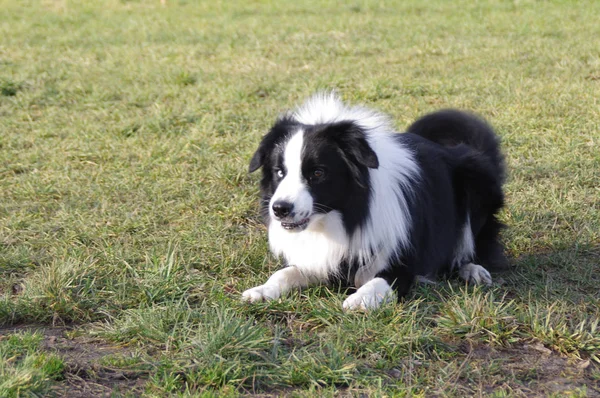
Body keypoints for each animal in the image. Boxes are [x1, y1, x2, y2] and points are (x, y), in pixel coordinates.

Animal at [243, 94, 506, 310]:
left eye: (318, 173)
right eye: (279, 172)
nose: (279, 209)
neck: (345, 217)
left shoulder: (405, 261)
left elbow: (382, 280)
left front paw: (361, 299)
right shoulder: (323, 259)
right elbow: (285, 273)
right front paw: (262, 290)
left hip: (477, 181)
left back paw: (473, 269)